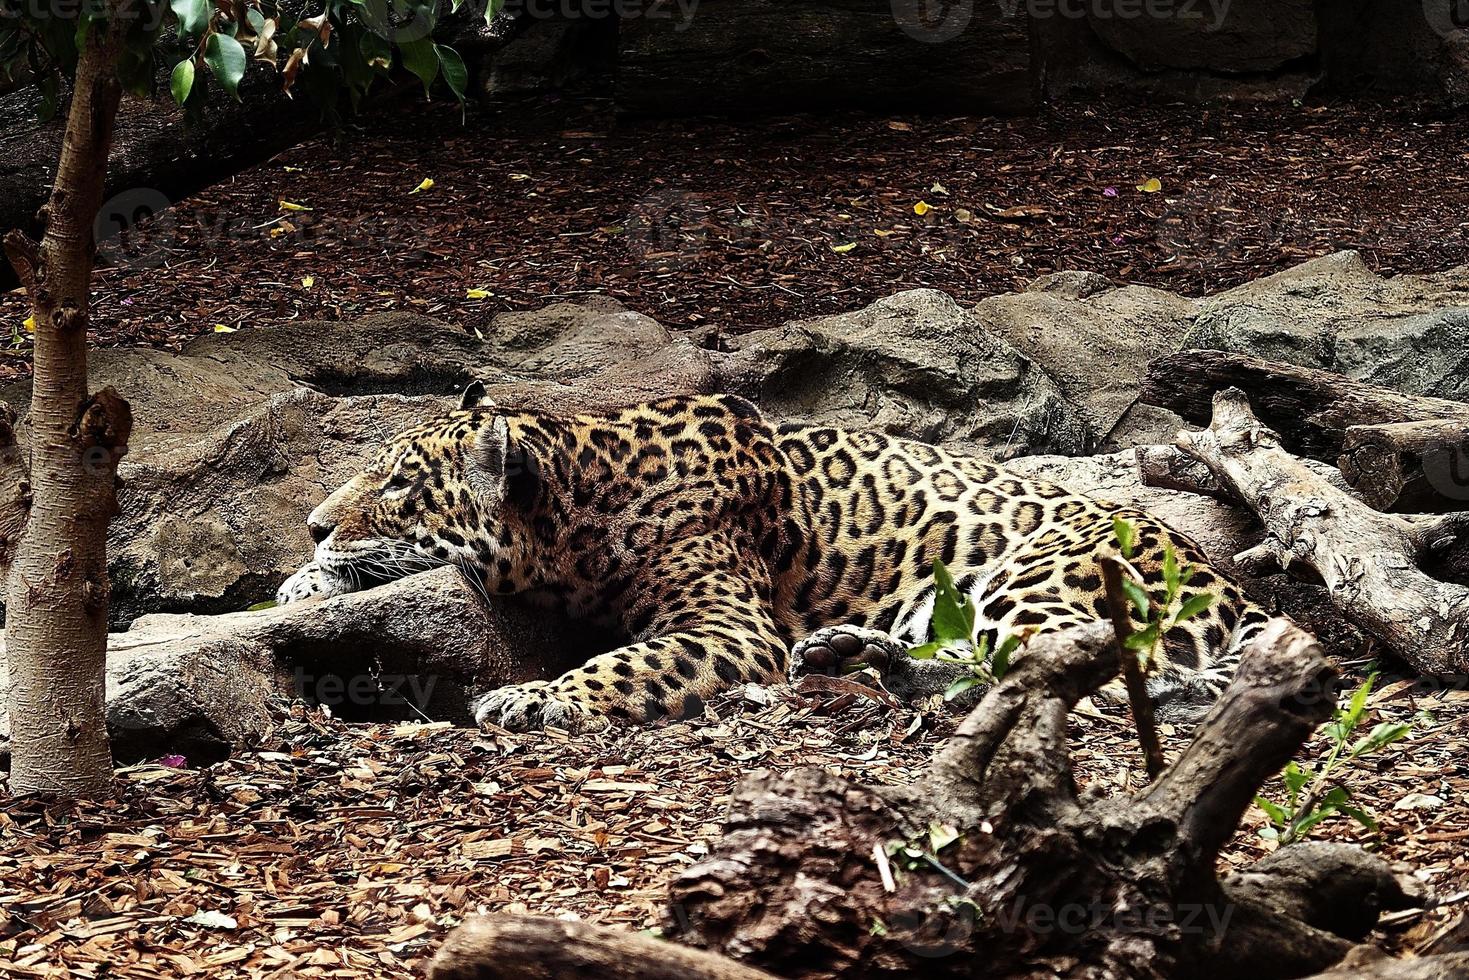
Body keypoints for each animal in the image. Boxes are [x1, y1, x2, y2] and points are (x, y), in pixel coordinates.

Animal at [280, 387, 1269, 731]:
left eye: (399, 484)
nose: (313, 523)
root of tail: (1218, 574)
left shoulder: (722, 626)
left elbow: (627, 663)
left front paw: (534, 695)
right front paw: (302, 578)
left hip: (1033, 582)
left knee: (1087, 676)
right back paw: (848, 653)